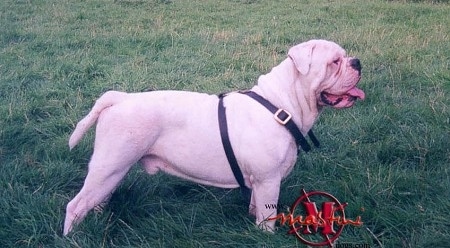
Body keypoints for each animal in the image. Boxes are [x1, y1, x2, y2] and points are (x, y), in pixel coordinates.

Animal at [63, 39, 366, 235]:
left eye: (345, 57)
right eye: (334, 62)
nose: (357, 61)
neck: (282, 104)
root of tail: (120, 98)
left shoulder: (260, 183)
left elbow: (256, 209)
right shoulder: (269, 181)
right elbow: (267, 220)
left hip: (112, 172)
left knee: (96, 200)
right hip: (109, 168)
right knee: (75, 206)